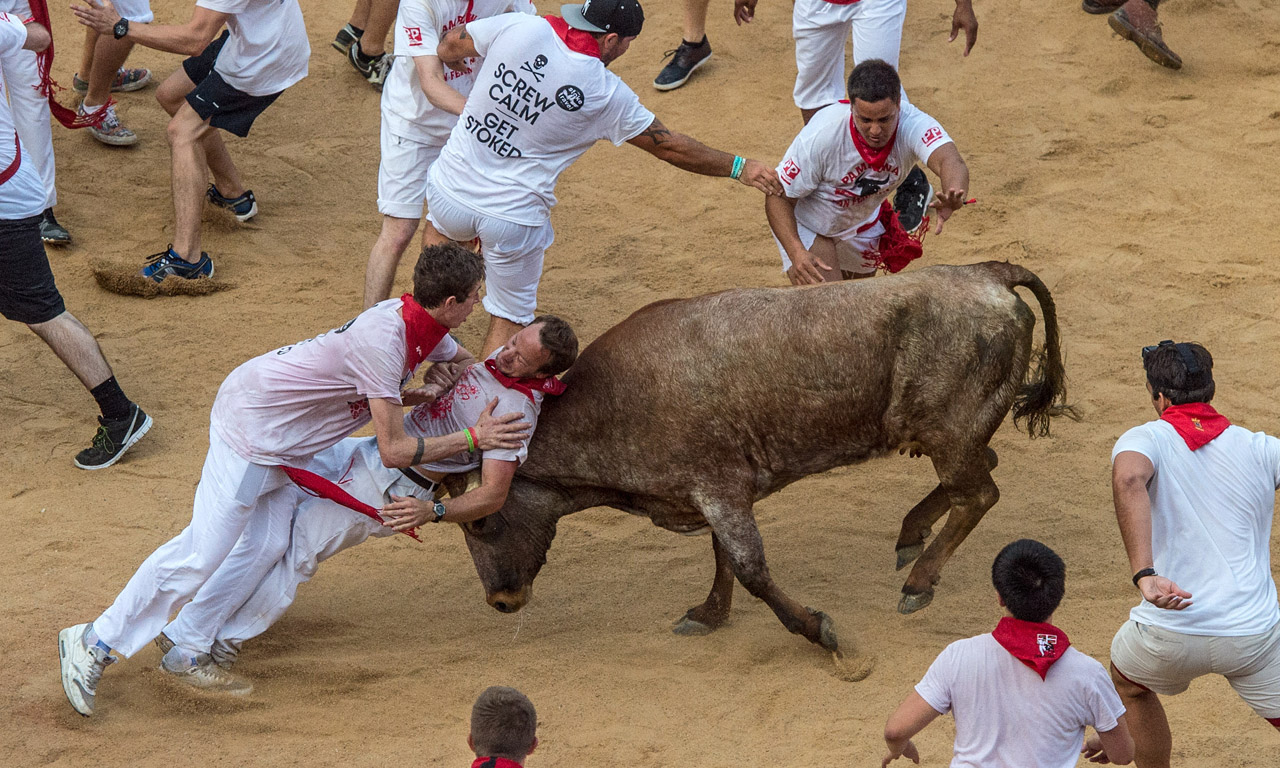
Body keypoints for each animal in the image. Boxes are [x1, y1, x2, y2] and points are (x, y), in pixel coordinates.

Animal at [455, 262, 1075, 675]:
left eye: (481, 521)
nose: (500, 602)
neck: (614, 400)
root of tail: (987, 272)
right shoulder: (712, 494)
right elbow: (725, 559)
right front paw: (708, 614)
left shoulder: (720, 489)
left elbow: (751, 568)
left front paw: (825, 636)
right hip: (948, 434)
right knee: (979, 472)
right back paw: (910, 536)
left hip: (950, 432)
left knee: (979, 494)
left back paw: (919, 581)